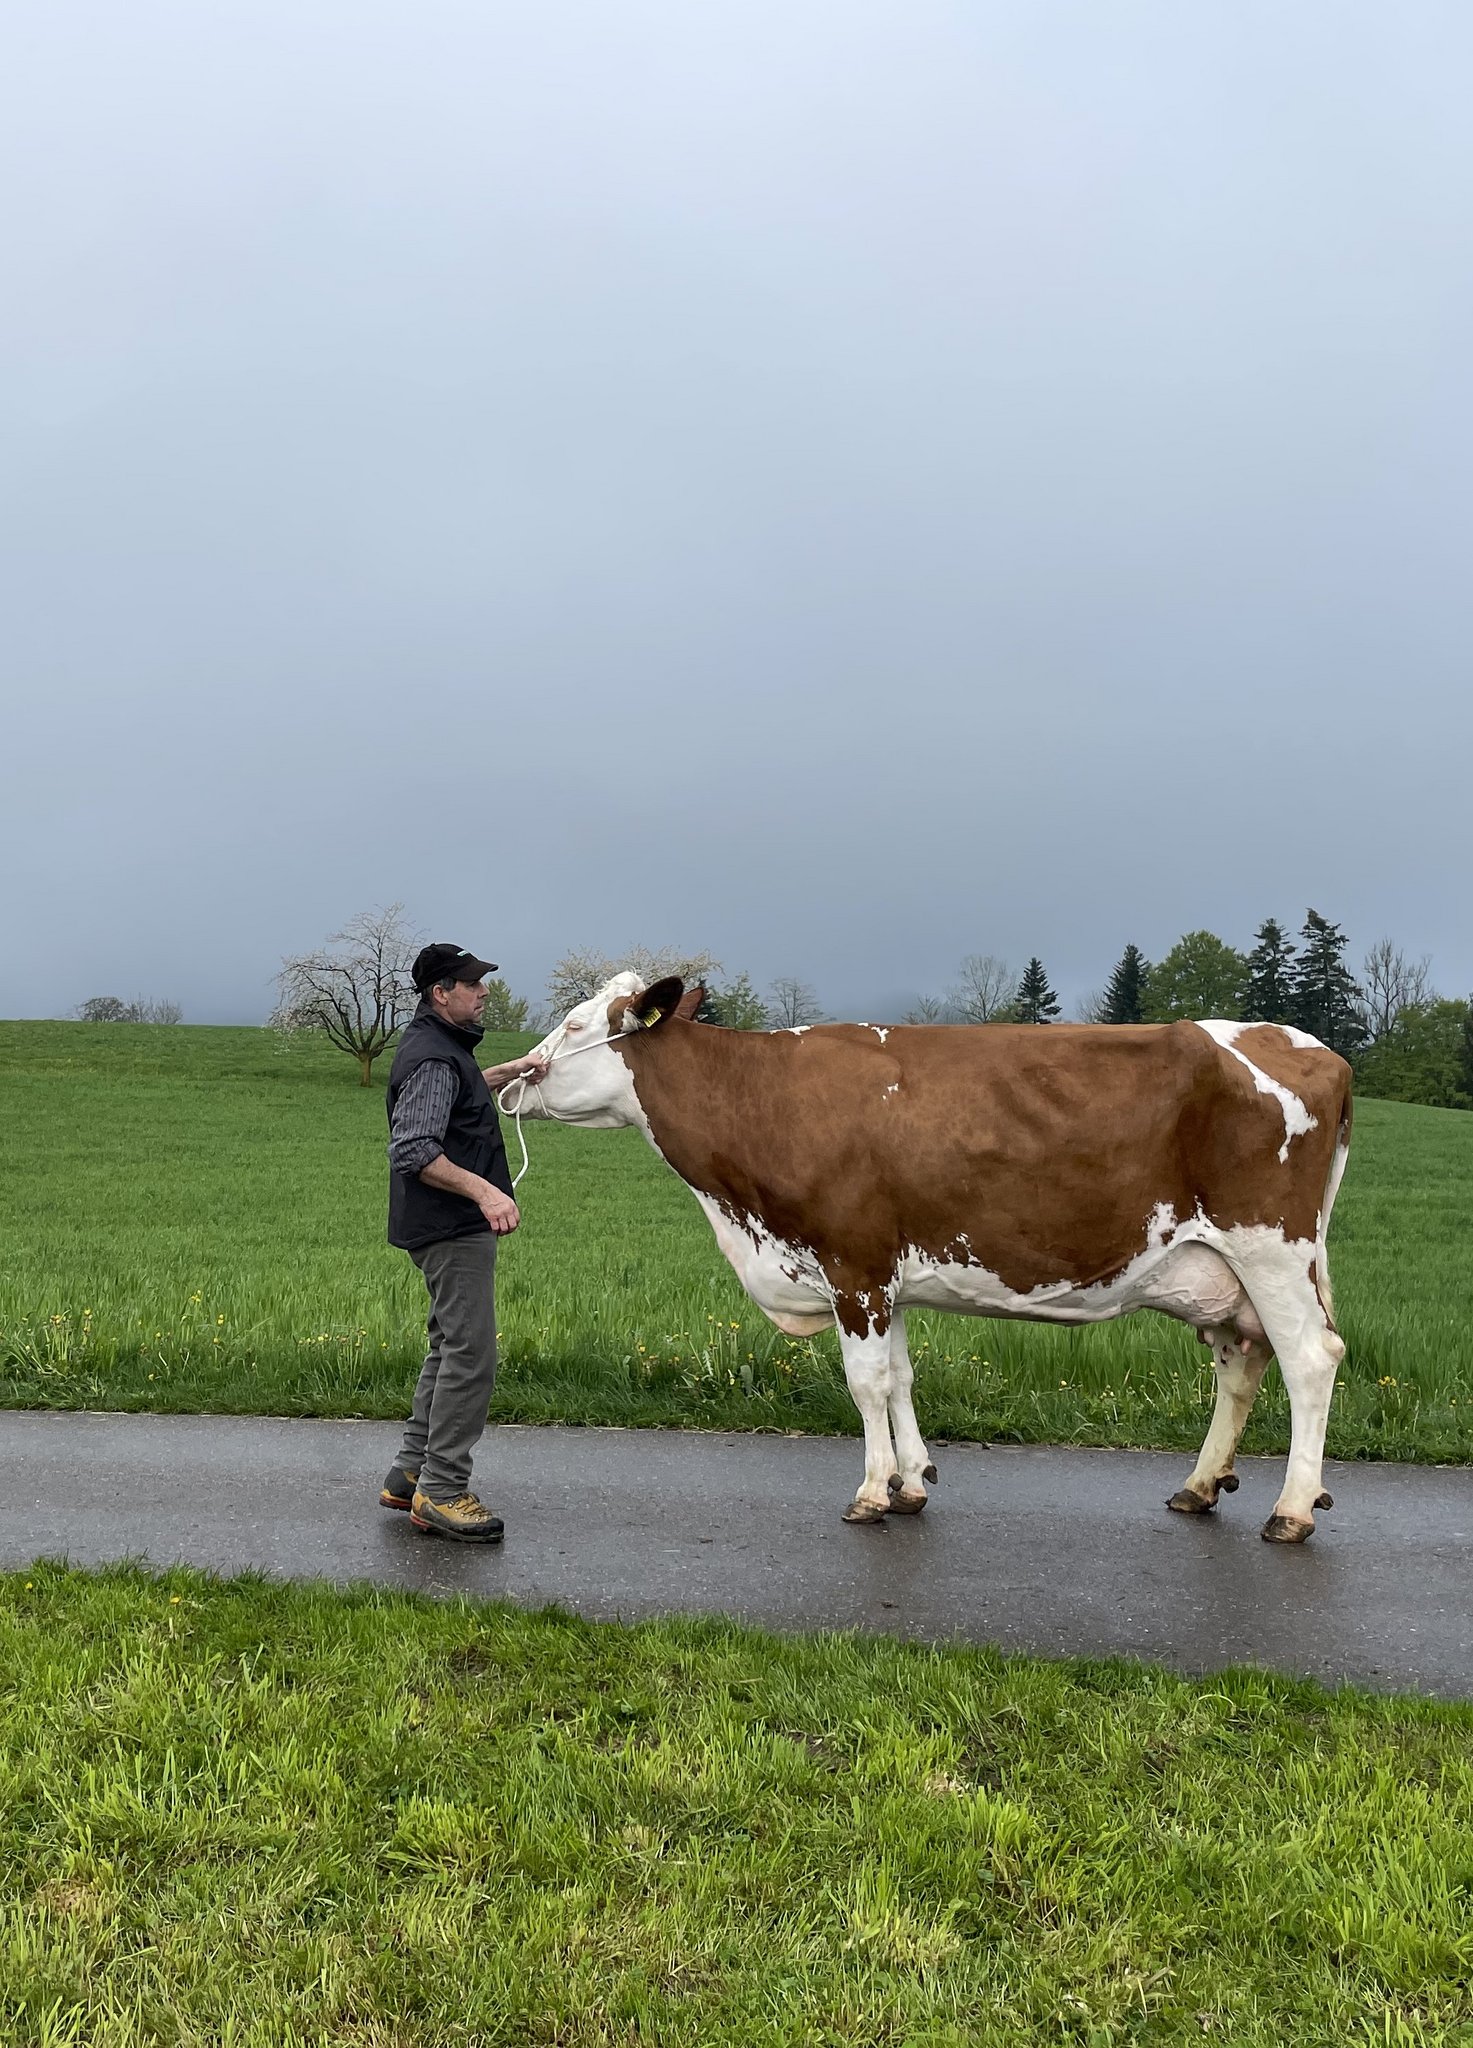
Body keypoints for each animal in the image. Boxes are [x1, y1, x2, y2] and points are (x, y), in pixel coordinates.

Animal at [504, 973, 1354, 1543]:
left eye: (574, 1025)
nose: (513, 1076)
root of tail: (1305, 1044)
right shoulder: (887, 1275)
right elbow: (902, 1375)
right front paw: (911, 1482)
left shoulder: (852, 1263)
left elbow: (865, 1381)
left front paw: (872, 1493)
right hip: (1229, 1272)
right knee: (1241, 1363)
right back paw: (1200, 1486)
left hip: (1270, 1248)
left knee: (1309, 1358)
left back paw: (1290, 1509)